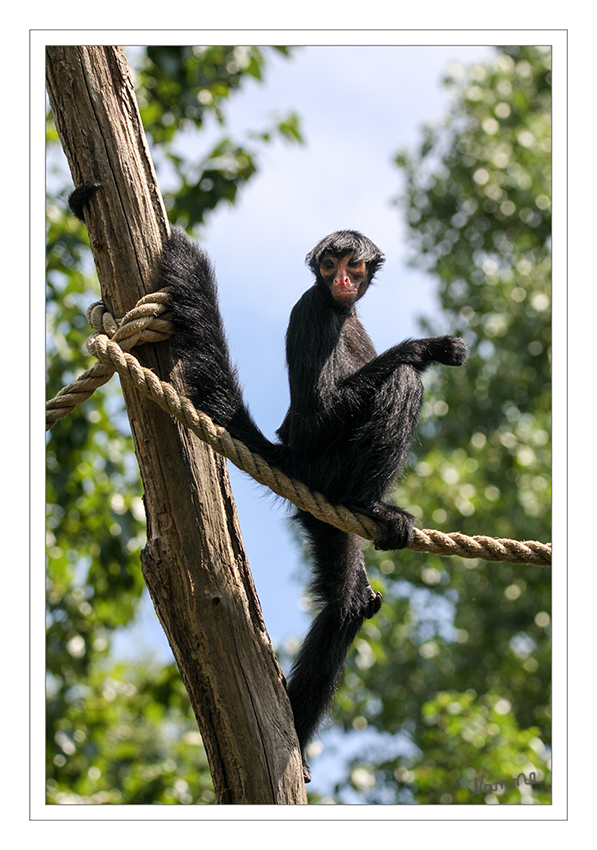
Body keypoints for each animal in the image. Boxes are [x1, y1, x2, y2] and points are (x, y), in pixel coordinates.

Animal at [68, 187, 466, 780]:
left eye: (352, 264)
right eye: (328, 265)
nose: (340, 278)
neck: (339, 308)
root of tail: (290, 458)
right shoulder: (312, 310)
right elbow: (322, 411)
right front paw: (428, 347)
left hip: (322, 515)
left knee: (350, 601)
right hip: (326, 466)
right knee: (401, 384)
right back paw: (371, 504)